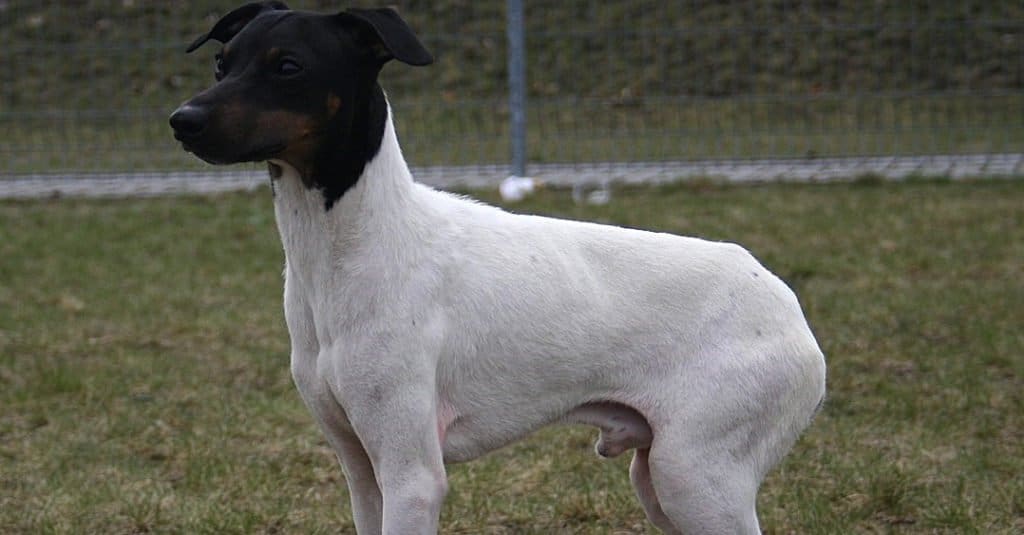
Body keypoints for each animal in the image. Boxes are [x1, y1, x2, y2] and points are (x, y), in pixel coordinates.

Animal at [167, 3, 823, 528]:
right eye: (221, 63)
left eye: (288, 66)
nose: (182, 121)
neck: (354, 246)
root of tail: (787, 306)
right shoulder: (361, 470)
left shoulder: (411, 476)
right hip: (662, 483)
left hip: (696, 476)